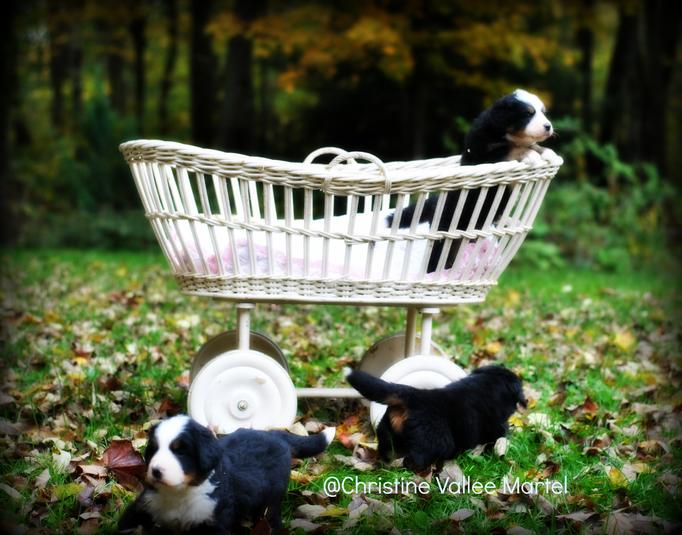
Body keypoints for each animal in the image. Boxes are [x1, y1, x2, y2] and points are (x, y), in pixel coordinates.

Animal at [120, 416, 338, 532]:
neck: (179, 494)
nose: (155, 471)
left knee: (271, 515)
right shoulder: (145, 505)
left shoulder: (214, 520)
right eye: (154, 449)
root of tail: (275, 434)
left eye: (180, 451)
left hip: (272, 498)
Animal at [346, 366, 524, 476]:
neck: (487, 385)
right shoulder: (498, 426)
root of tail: (413, 395)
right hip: (433, 442)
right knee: (414, 459)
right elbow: (499, 437)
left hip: (387, 430)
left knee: (386, 450)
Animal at [388, 89, 556, 272]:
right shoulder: (485, 155)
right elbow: (513, 148)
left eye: (543, 112)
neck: (503, 133)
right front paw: (532, 155)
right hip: (444, 235)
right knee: (437, 259)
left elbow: (532, 145)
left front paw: (549, 153)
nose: (548, 126)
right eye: (527, 114)